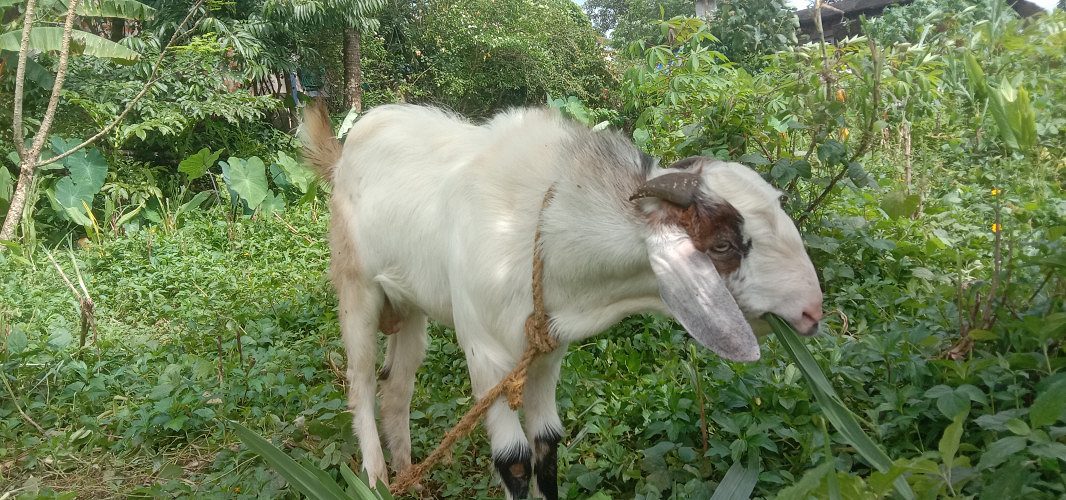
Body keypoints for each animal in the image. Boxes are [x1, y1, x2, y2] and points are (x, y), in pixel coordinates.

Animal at [300, 103, 823, 499]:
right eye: (722, 245)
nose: (812, 311)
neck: (538, 225)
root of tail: (344, 155)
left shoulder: (547, 349)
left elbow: (547, 446)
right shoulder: (485, 354)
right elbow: (513, 460)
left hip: (410, 308)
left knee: (398, 389)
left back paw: (408, 472)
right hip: (357, 289)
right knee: (362, 382)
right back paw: (375, 478)